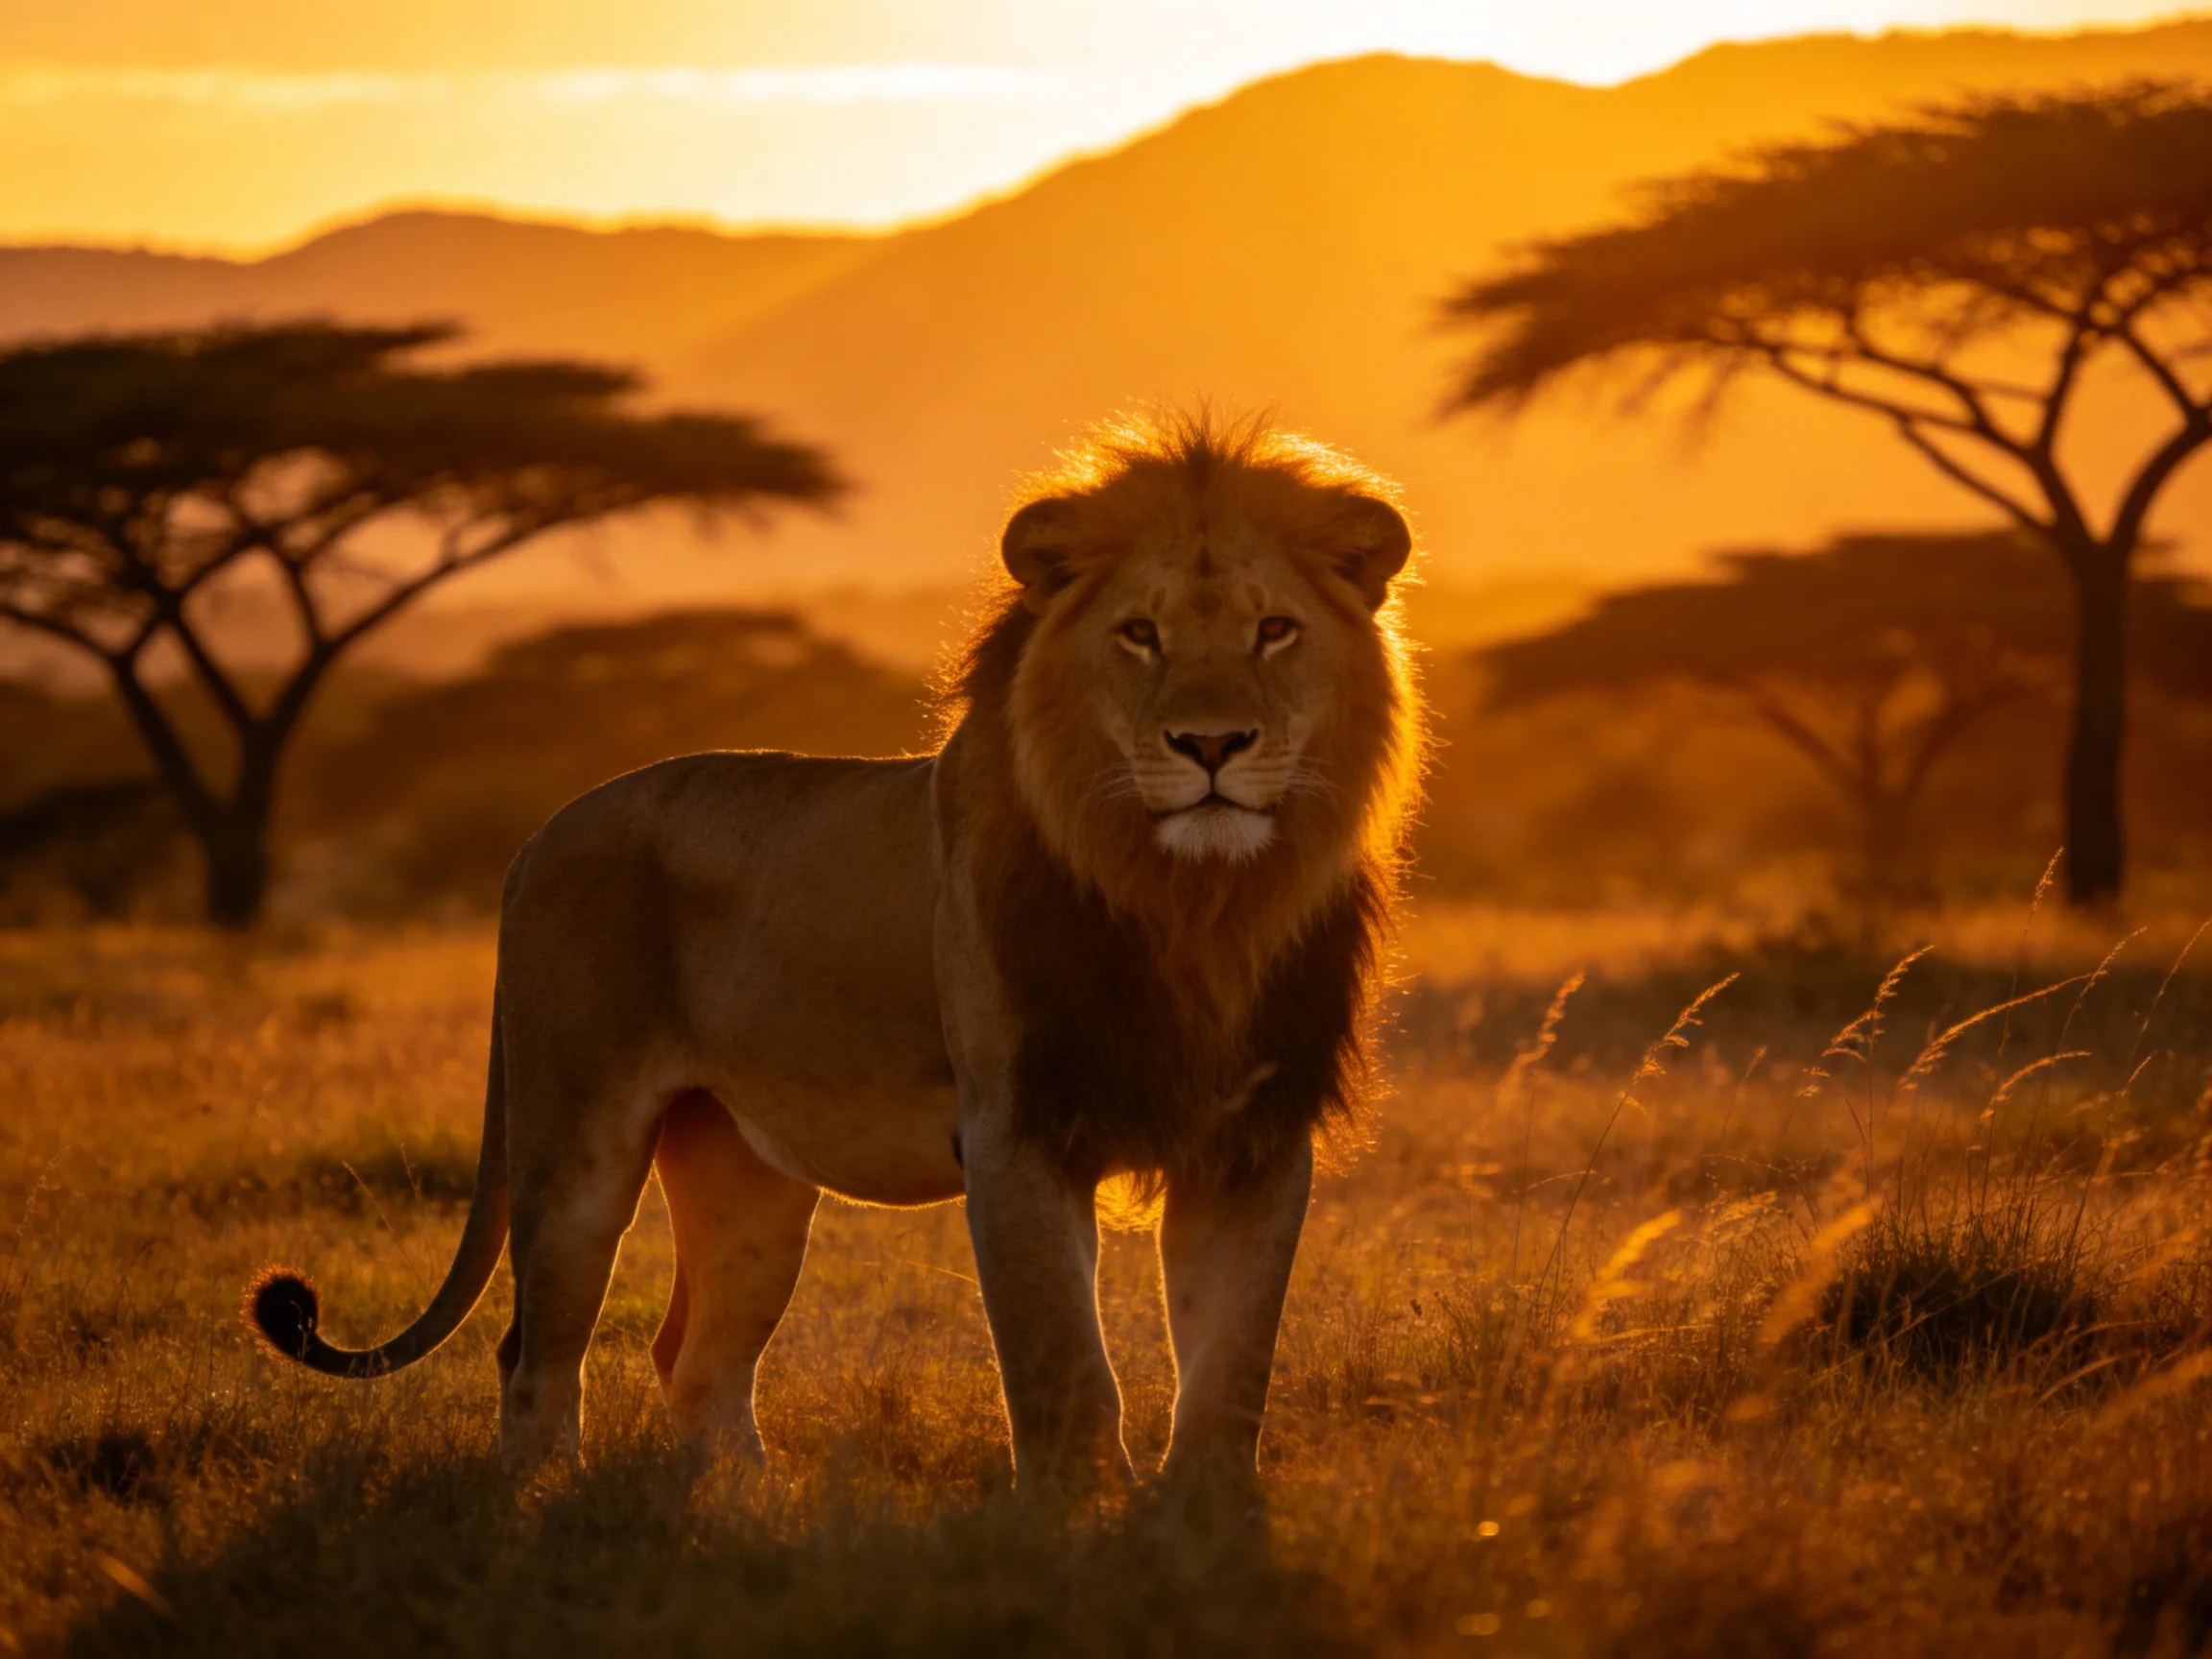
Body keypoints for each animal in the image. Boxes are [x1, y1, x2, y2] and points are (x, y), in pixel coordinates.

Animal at [246, 409, 1423, 1490]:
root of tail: (544, 830)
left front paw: (1204, 1526)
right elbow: (1066, 1371)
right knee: (536, 1353)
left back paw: (748, 1514)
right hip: (573, 1141)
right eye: (1140, 634)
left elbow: (1232, 1367)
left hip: (747, 1176)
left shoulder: (1255, 1140)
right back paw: (540, 1508)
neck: (1191, 901)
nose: (1211, 745)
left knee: (697, 1357)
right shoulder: (1017, 1135)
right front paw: (1074, 1528)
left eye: (1275, 631)